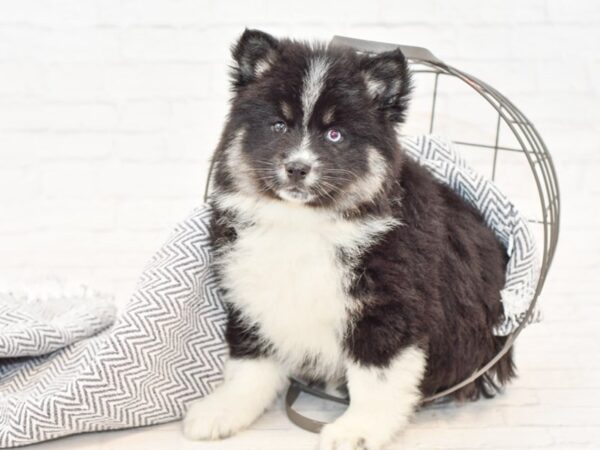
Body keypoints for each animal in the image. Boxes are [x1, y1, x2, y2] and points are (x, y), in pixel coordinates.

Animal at [184, 29, 516, 448]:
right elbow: (248, 362)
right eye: (279, 125)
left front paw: (357, 429)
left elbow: (377, 379)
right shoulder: (253, 289)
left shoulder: (388, 305)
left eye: (335, 134)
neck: (303, 221)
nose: (297, 168)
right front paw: (224, 410)